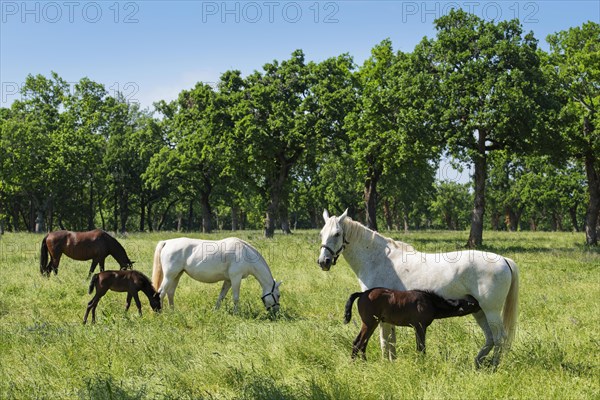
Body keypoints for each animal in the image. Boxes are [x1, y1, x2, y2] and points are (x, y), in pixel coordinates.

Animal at [151, 238, 280, 312]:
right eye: (278, 295)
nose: (276, 311)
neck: (245, 253)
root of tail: (167, 242)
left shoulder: (228, 280)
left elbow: (221, 296)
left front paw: (215, 311)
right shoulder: (236, 278)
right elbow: (236, 298)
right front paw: (236, 313)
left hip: (177, 275)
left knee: (170, 292)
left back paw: (173, 312)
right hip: (169, 276)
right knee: (161, 293)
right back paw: (161, 313)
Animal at [344, 288, 480, 360]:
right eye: (472, 304)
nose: (480, 305)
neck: (430, 302)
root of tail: (363, 293)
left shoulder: (416, 327)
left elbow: (418, 346)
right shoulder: (420, 326)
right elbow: (422, 347)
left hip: (371, 323)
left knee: (361, 343)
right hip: (370, 323)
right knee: (358, 343)